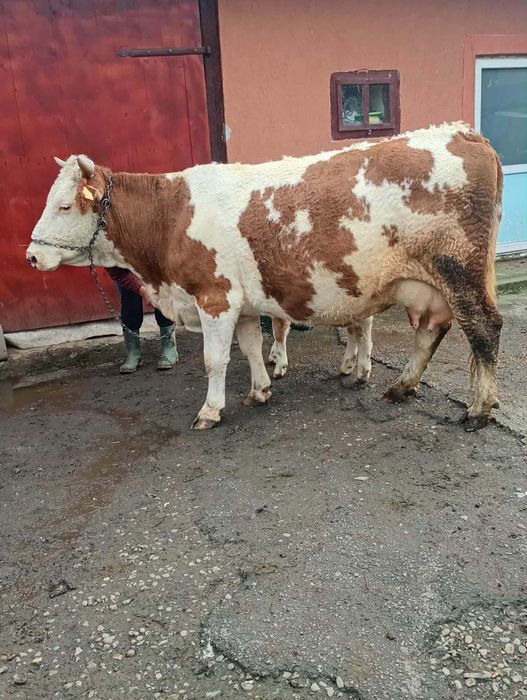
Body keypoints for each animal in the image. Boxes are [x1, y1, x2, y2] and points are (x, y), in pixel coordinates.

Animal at [27, 123, 503, 432]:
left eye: (65, 205)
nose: (31, 256)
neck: (172, 215)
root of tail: (465, 133)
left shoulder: (214, 296)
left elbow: (214, 359)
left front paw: (210, 410)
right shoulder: (240, 303)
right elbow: (252, 347)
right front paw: (259, 390)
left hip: (461, 271)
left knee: (484, 330)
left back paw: (479, 409)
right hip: (429, 284)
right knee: (429, 332)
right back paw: (402, 386)